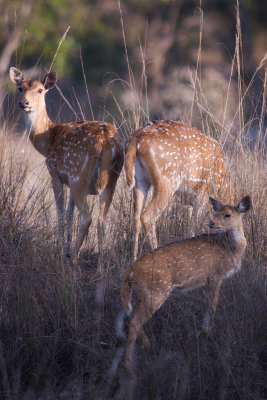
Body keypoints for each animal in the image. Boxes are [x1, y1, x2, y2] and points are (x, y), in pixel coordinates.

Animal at [9, 67, 124, 272]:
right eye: (20, 87)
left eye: (40, 90)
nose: (24, 103)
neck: (48, 140)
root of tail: (106, 141)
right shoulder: (69, 180)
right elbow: (69, 215)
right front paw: (66, 249)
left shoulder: (56, 174)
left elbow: (61, 212)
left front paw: (60, 250)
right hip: (110, 178)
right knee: (102, 218)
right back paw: (100, 265)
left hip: (79, 173)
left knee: (87, 217)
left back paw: (74, 260)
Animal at [116, 195, 252, 376]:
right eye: (215, 212)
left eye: (227, 215)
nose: (211, 223)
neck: (231, 249)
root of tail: (129, 272)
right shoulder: (215, 274)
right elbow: (213, 305)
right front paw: (208, 334)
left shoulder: (208, 280)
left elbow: (208, 304)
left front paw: (204, 332)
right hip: (156, 292)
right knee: (134, 322)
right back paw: (130, 367)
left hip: (141, 294)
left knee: (132, 318)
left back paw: (147, 347)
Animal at [125, 120, 232, 260]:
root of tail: (135, 140)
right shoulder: (202, 195)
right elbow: (191, 230)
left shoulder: (189, 202)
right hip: (167, 180)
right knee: (147, 216)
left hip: (140, 182)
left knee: (136, 218)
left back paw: (134, 259)